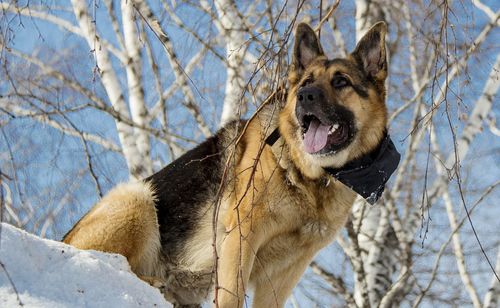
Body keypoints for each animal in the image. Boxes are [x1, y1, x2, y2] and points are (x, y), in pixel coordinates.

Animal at [63, 22, 390, 308]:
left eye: (341, 82)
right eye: (307, 82)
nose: (304, 96)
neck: (312, 177)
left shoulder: (287, 268)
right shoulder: (242, 238)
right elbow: (232, 295)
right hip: (138, 198)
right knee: (113, 262)